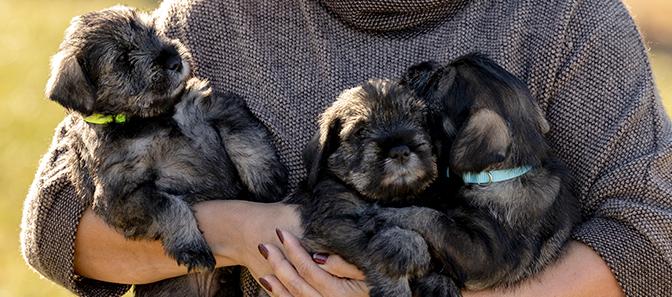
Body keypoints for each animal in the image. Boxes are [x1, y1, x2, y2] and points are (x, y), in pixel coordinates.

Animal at [46, 5, 288, 296]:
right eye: (122, 58)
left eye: (152, 31)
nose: (174, 60)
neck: (151, 118)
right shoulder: (122, 194)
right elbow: (167, 204)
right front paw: (190, 246)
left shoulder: (214, 105)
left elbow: (243, 135)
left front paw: (267, 181)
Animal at [286, 78, 438, 296]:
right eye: (359, 132)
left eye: (417, 120)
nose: (400, 151)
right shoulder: (336, 223)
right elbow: (379, 248)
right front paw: (410, 250)